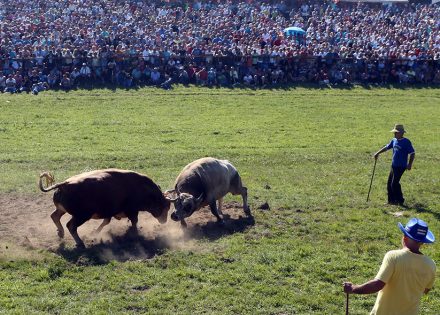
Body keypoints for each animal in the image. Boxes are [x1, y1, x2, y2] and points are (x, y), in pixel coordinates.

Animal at [39, 169, 170, 248]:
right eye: (164, 207)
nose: (164, 221)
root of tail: (64, 185)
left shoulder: (109, 212)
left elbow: (105, 222)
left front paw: (95, 233)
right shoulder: (132, 210)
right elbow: (134, 221)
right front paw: (134, 233)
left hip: (63, 210)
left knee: (55, 216)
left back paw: (60, 232)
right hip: (82, 216)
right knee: (71, 226)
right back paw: (80, 242)